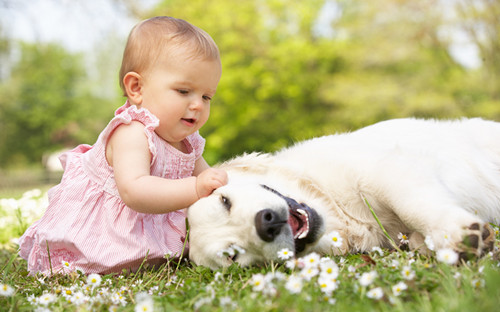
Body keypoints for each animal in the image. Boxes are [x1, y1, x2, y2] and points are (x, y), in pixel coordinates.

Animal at [188, 117, 500, 268]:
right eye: (232, 255)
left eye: (224, 201)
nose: (267, 223)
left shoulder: (385, 170)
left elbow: (412, 206)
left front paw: (456, 233)